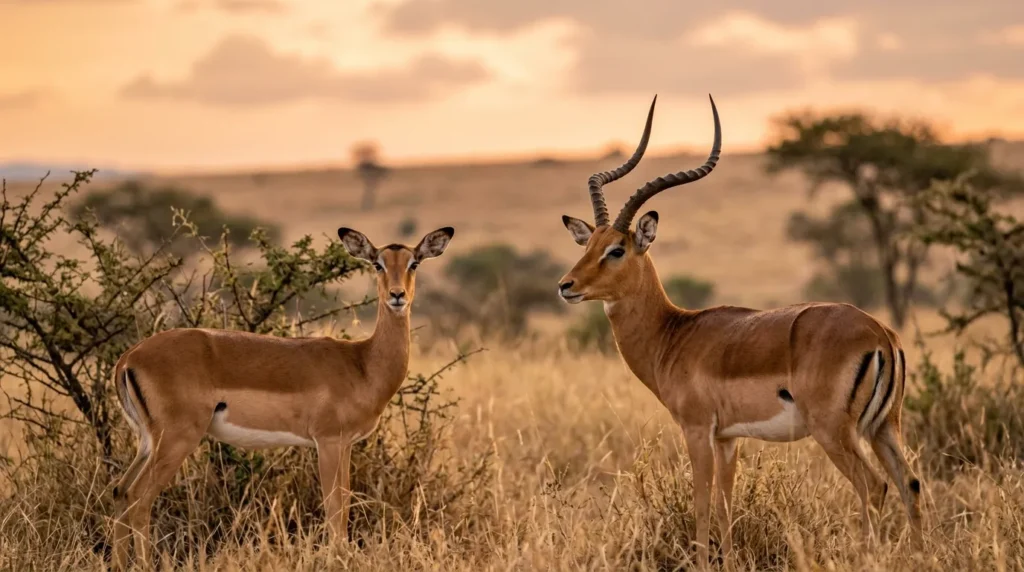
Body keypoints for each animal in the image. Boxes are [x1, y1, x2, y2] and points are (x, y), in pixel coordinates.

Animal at [109, 225, 455, 570]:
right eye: (377, 264)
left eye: (414, 263)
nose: (397, 295)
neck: (362, 363)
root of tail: (128, 358)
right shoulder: (328, 441)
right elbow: (335, 509)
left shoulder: (345, 445)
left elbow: (343, 504)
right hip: (177, 438)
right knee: (138, 497)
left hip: (148, 441)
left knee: (120, 492)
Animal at [557, 95, 924, 563]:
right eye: (587, 244)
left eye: (617, 250)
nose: (566, 286)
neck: (673, 334)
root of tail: (880, 334)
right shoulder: (728, 438)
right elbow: (726, 504)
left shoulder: (697, 429)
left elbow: (700, 501)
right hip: (884, 427)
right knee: (910, 483)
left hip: (834, 431)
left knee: (873, 486)